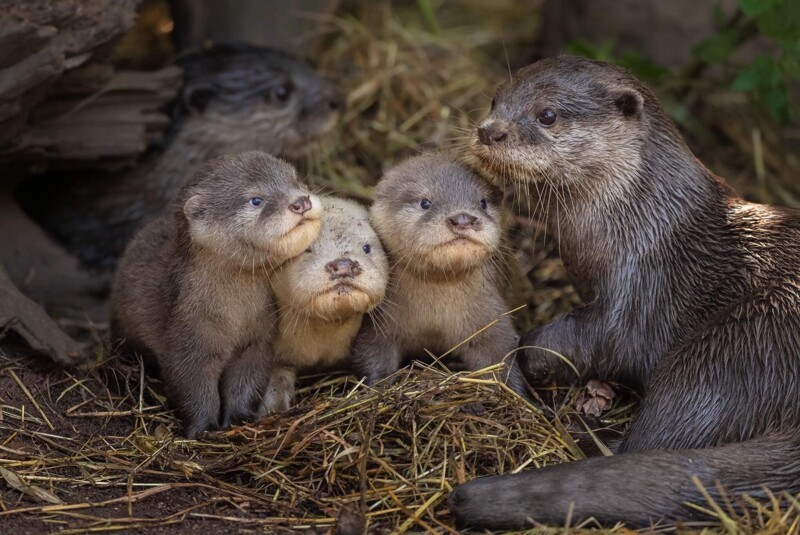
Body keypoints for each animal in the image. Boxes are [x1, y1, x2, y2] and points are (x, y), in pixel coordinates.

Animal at [110, 152, 322, 440]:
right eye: (255, 200)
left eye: (296, 179)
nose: (301, 202)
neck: (235, 318)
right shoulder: (187, 341)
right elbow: (194, 389)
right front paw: (203, 429)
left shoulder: (257, 342)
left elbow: (245, 381)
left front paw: (240, 418)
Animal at [352, 153, 528, 396]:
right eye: (425, 202)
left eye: (483, 202)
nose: (463, 219)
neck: (435, 316)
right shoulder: (378, 325)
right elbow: (372, 354)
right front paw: (379, 387)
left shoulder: (491, 320)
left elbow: (501, 357)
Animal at [450, 54, 800, 528]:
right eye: (494, 100)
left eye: (547, 115)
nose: (490, 130)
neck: (643, 218)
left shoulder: (644, 287)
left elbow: (598, 341)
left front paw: (533, 358)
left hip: (735, 353)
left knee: (660, 433)